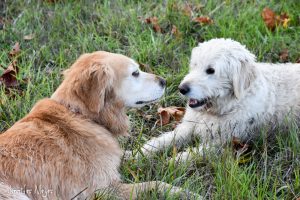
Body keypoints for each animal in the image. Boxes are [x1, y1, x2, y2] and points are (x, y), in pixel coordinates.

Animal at [0, 52, 197, 199]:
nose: (164, 81)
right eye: (135, 73)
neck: (81, 115)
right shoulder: (102, 190)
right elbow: (155, 184)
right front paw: (186, 193)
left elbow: (136, 153)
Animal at [134, 38, 300, 162]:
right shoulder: (188, 127)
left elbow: (193, 154)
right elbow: (163, 140)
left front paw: (172, 162)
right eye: (194, 65)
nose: (181, 88)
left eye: (211, 70)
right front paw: (138, 153)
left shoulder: (222, 144)